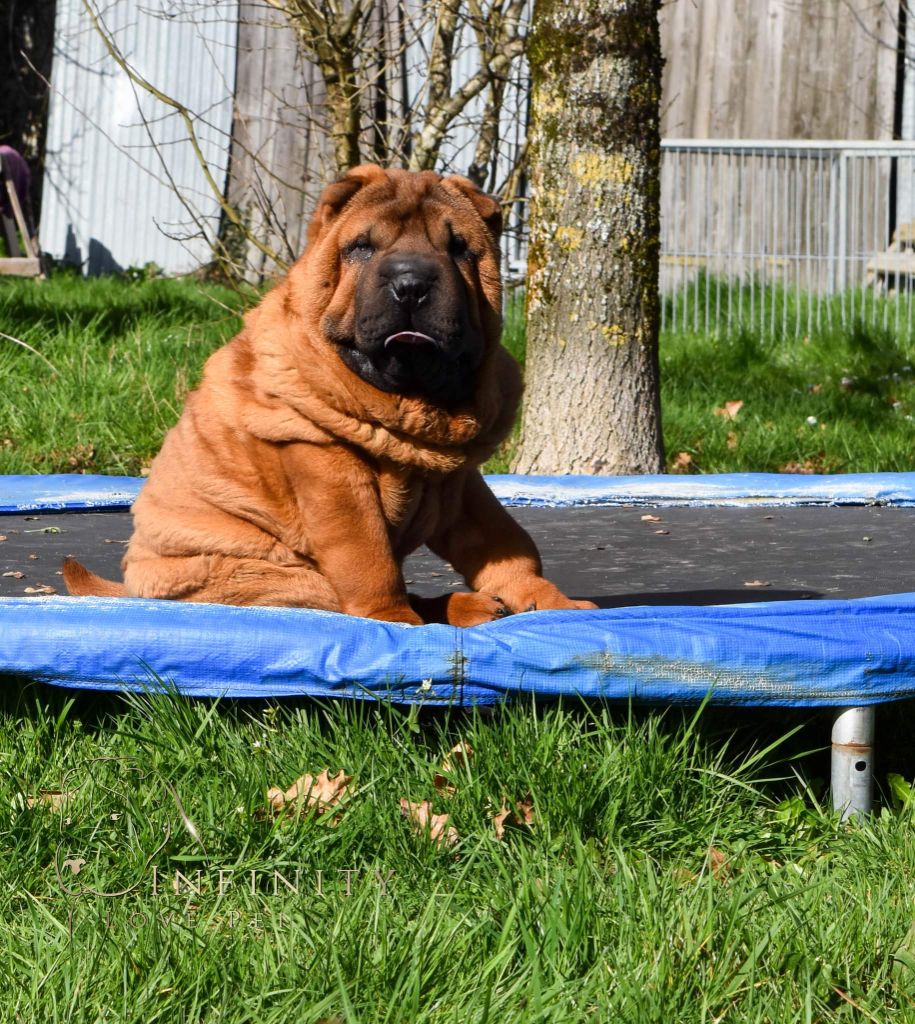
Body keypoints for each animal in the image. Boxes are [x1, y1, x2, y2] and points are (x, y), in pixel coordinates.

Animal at [64, 165, 597, 626]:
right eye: (362, 247)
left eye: (459, 248)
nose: (411, 283)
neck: (411, 407)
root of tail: (135, 590)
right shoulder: (326, 464)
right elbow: (369, 559)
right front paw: (394, 622)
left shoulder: (460, 484)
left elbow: (506, 542)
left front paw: (555, 604)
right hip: (275, 576)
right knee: (339, 597)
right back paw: (461, 609)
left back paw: (479, 606)